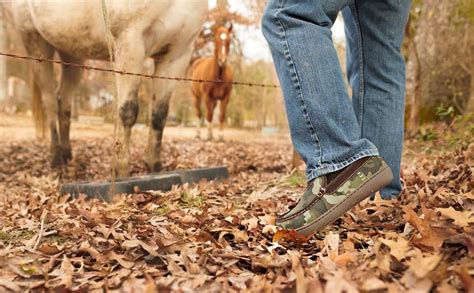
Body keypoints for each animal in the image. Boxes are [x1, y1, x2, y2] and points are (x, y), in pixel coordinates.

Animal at [8, 0, 208, 176]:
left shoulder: (177, 55)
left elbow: (159, 116)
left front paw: (154, 167)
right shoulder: (130, 44)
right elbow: (128, 112)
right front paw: (122, 171)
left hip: (71, 54)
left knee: (63, 100)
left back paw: (67, 153)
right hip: (36, 44)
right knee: (49, 101)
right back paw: (56, 157)